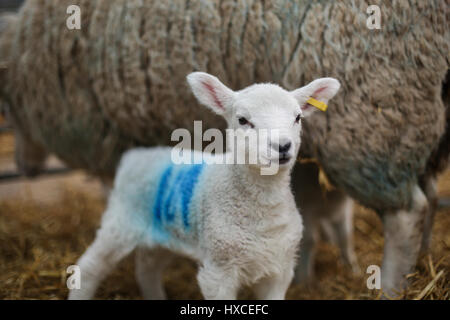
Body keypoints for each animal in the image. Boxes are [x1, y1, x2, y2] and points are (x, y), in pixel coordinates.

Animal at [0, 0, 448, 296]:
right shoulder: (218, 271)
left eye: (298, 117)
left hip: (373, 126)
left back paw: (393, 285)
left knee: (409, 212)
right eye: (242, 119)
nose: (283, 147)